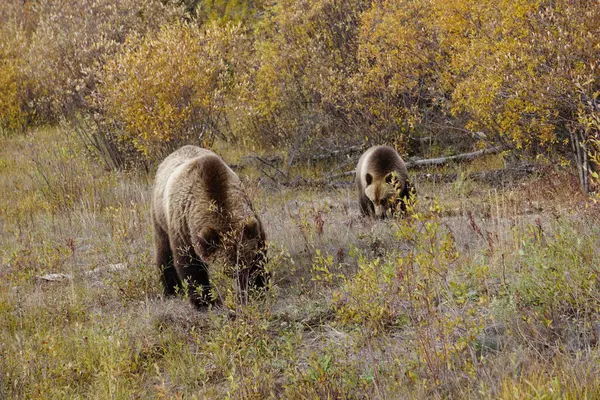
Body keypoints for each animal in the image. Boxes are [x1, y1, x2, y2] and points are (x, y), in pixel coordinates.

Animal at [152, 145, 268, 308]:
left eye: (247, 262)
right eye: (228, 270)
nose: (243, 289)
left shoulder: (251, 222)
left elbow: (261, 254)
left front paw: (259, 287)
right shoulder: (183, 227)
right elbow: (191, 266)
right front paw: (204, 301)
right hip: (159, 217)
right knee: (163, 252)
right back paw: (171, 289)